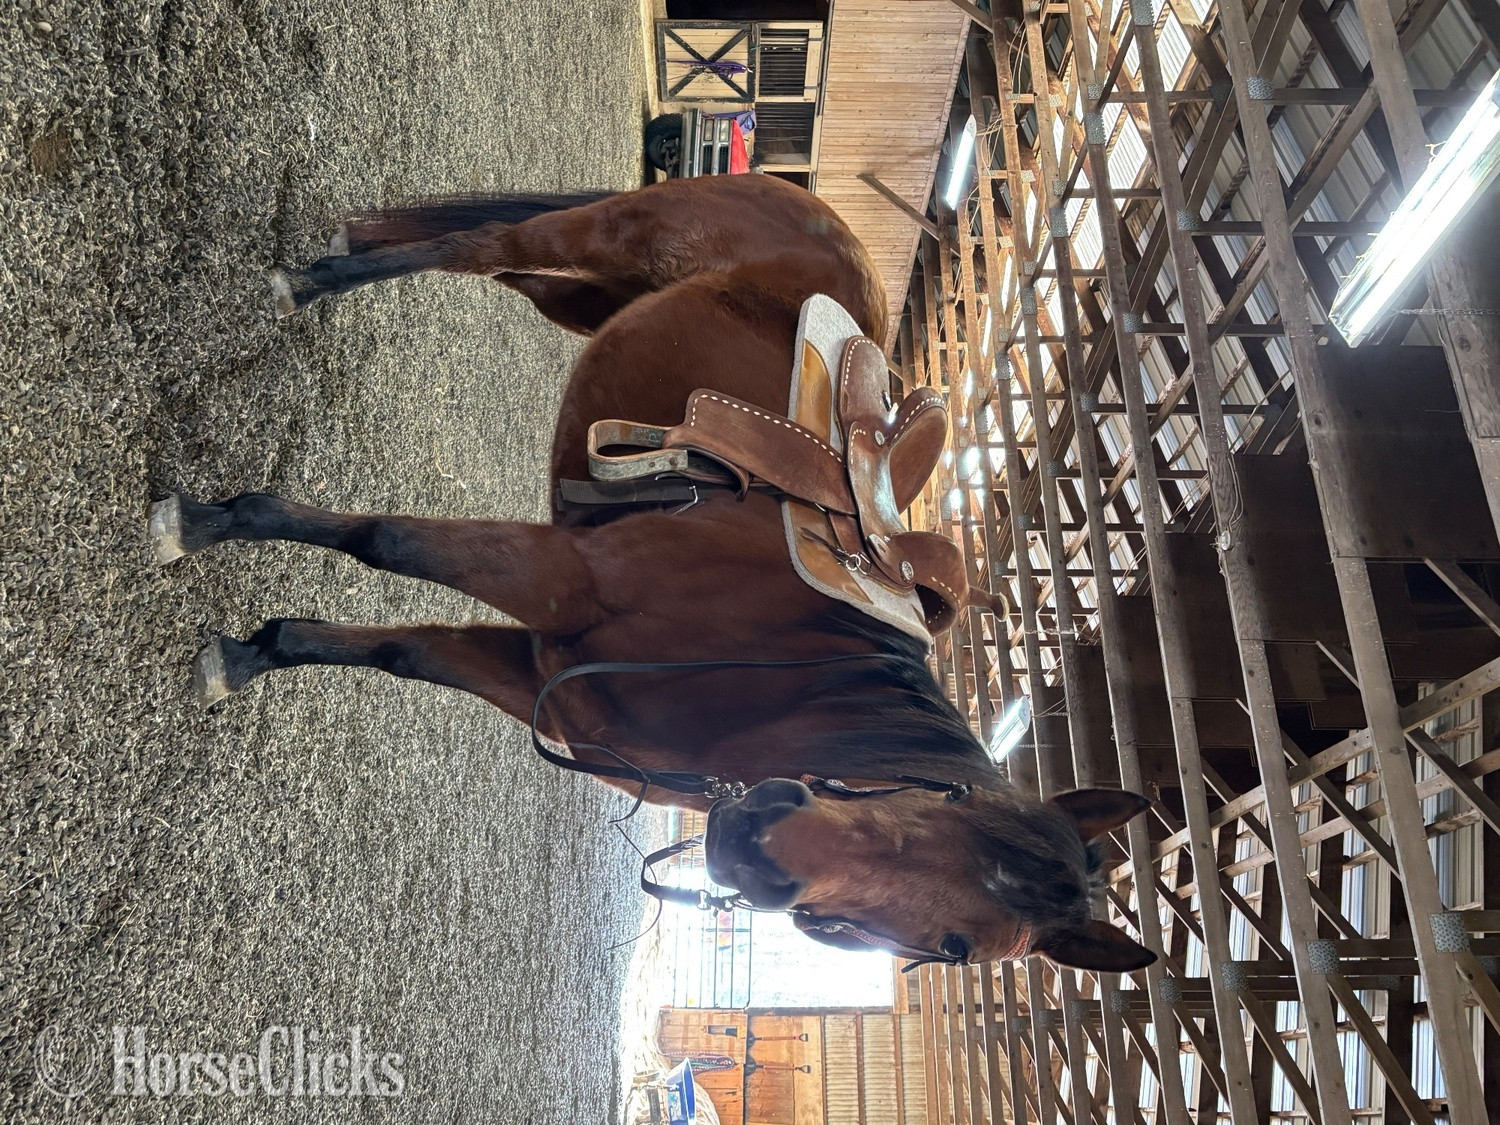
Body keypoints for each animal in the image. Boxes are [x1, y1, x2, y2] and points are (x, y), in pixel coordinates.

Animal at [153, 174, 1155, 973]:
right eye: (949, 796)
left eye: (949, 948)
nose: (759, 848)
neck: (778, 670)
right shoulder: (566, 574)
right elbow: (385, 541)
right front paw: (203, 523)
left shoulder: (534, 664)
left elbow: (400, 650)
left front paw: (252, 651)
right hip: (601, 238)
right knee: (484, 247)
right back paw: (309, 282)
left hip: (585, 298)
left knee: (492, 264)